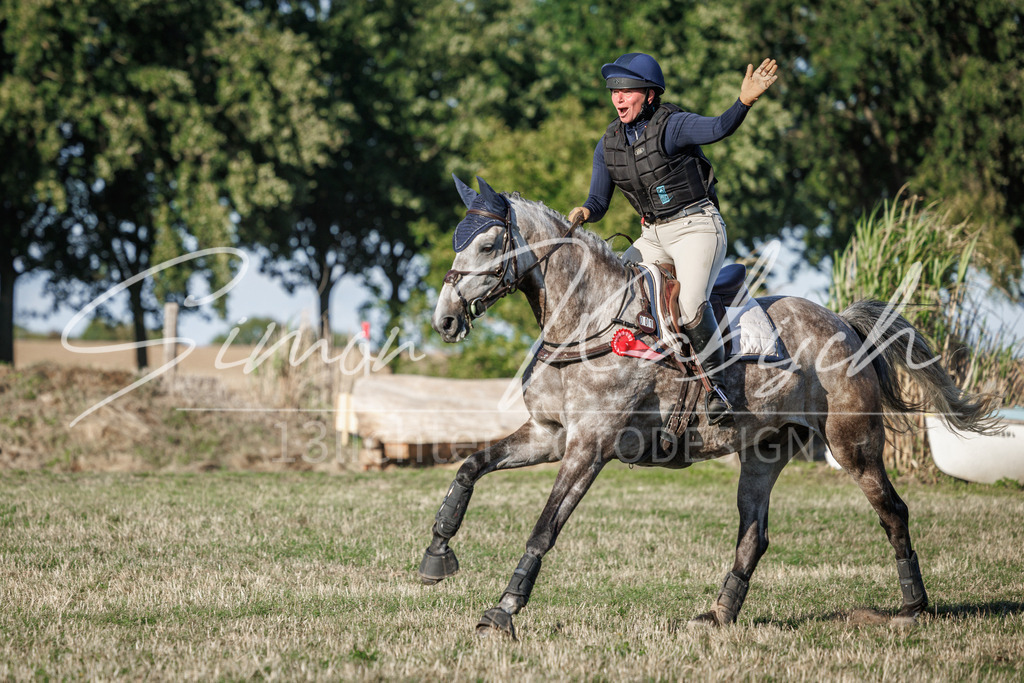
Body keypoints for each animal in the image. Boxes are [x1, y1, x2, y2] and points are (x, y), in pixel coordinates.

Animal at [419, 176, 998, 639]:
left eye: (488, 244)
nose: (444, 319)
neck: (590, 323)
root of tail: (844, 323)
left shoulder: (589, 448)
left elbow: (544, 527)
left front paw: (502, 611)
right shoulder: (549, 433)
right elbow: (471, 466)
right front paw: (437, 553)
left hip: (853, 445)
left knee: (892, 511)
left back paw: (912, 606)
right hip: (765, 452)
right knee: (754, 535)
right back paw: (719, 615)